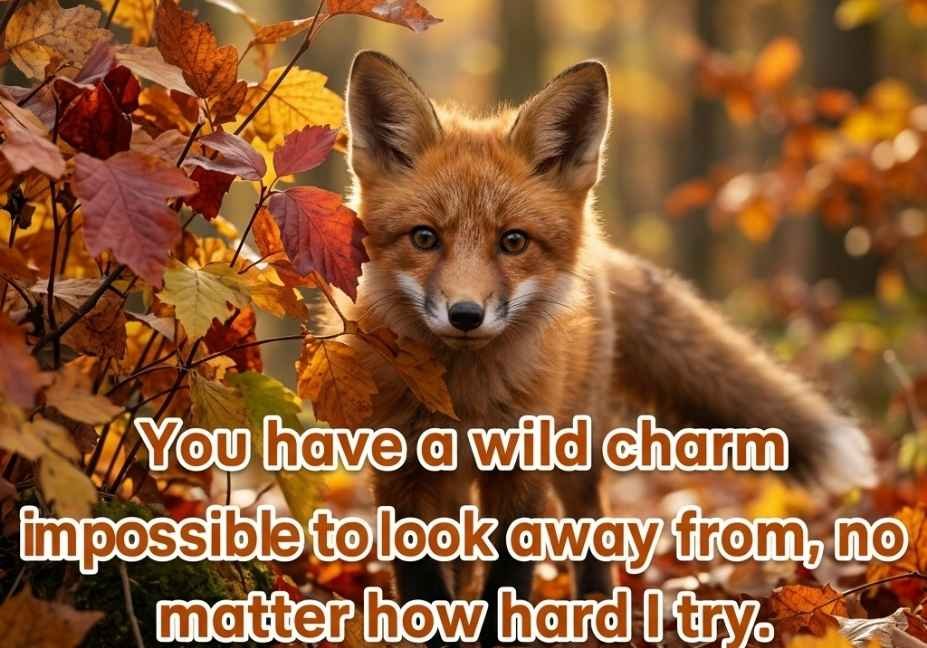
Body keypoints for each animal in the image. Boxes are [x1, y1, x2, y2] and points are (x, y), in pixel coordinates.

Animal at [338, 50, 876, 646]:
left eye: (513, 241)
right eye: (424, 238)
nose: (465, 314)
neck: (464, 395)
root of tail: (598, 254)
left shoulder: (522, 467)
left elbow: (508, 581)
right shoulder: (400, 473)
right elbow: (424, 588)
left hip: (577, 446)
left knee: (590, 523)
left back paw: (596, 607)